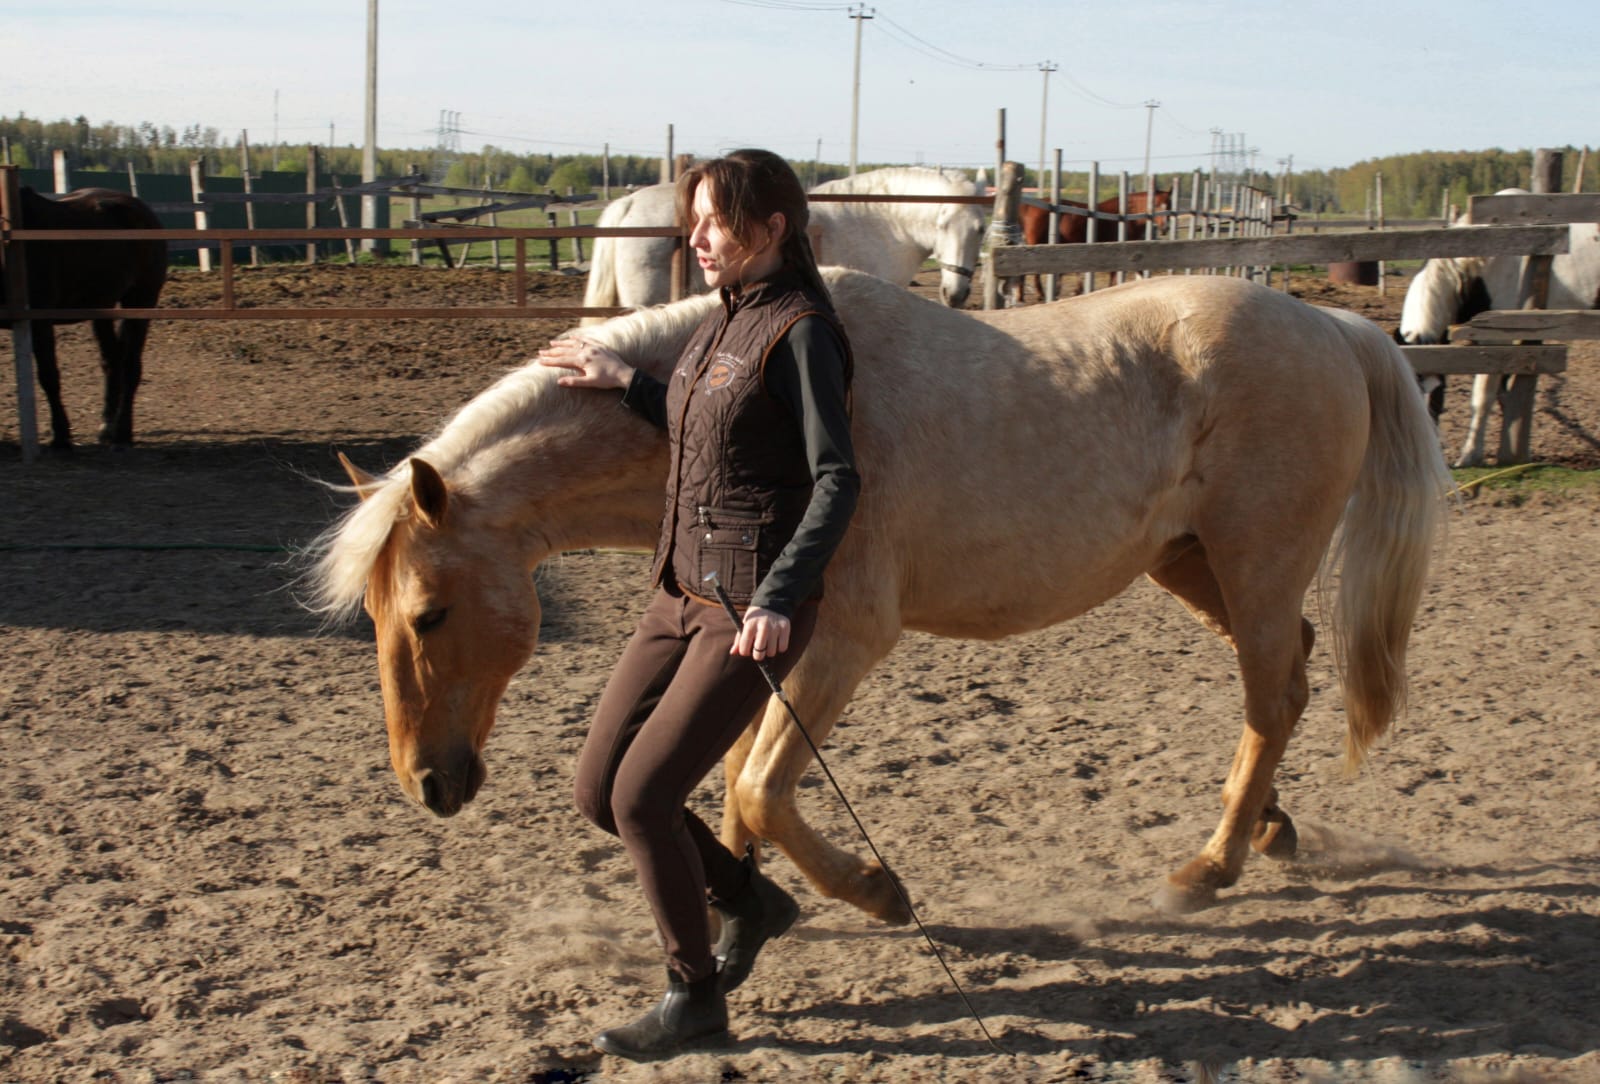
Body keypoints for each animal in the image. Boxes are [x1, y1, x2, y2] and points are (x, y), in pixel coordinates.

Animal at [0, 186, 167, 448]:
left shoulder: (39, 321)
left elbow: (49, 377)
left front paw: (61, 436)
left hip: (142, 299)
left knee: (130, 365)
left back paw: (123, 432)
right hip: (102, 307)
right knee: (112, 360)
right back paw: (107, 426)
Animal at [310, 268, 1449, 922]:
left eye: (428, 615)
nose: (428, 783)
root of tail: (1333, 326)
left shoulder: (839, 642)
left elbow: (758, 791)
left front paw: (871, 891)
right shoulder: (759, 649)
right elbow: (733, 780)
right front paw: (740, 921)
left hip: (1255, 562)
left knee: (1273, 695)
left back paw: (1208, 868)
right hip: (1191, 563)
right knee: (1291, 677)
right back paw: (1268, 831)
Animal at [1016, 187, 1173, 302]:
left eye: (1169, 204)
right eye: (1156, 204)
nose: (1165, 228)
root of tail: (1027, 207)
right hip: (1035, 243)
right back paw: (1040, 295)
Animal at [1397, 195, 1600, 466]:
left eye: (1433, 399)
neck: (1475, 267)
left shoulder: (1493, 342)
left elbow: (1482, 398)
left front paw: (1471, 455)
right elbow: (1505, 395)